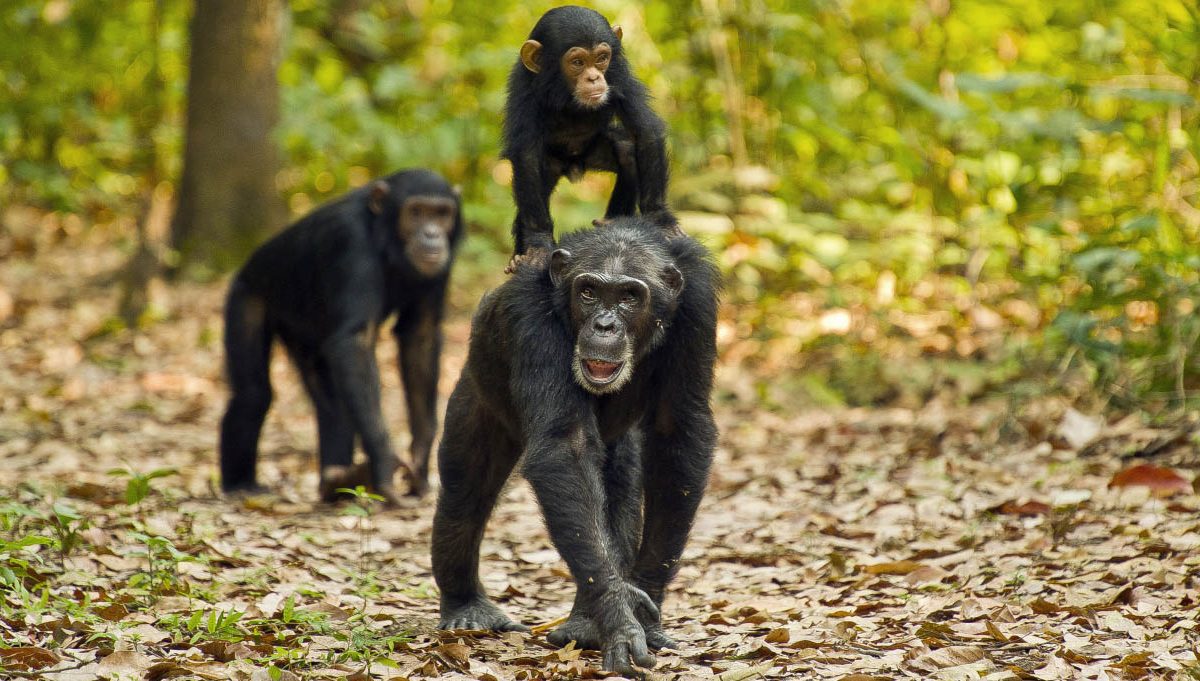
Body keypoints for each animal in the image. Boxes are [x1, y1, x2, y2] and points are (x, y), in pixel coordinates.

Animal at [218, 167, 460, 503]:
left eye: (441, 213)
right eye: (416, 212)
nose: (432, 234)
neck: (386, 241)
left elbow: (420, 338)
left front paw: (421, 463)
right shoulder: (351, 242)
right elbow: (354, 344)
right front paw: (385, 464)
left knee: (333, 407)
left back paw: (337, 483)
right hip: (247, 293)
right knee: (252, 395)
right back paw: (240, 484)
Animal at [432, 218, 715, 676]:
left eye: (630, 296)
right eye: (589, 292)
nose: (604, 325)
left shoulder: (698, 309)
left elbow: (680, 434)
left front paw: (644, 606)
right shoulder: (530, 317)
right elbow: (567, 446)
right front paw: (619, 615)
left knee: (617, 493)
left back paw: (583, 624)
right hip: (476, 392)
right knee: (467, 492)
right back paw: (467, 608)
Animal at [499, 5, 686, 270]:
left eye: (601, 59)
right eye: (577, 62)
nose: (594, 77)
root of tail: (574, 167)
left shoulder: (619, 76)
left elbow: (646, 131)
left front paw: (661, 220)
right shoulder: (524, 87)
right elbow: (526, 155)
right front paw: (538, 243)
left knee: (626, 148)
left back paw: (613, 222)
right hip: (551, 166)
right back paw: (518, 256)